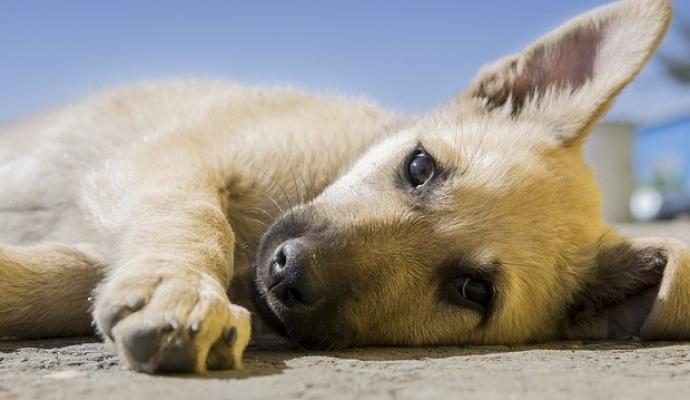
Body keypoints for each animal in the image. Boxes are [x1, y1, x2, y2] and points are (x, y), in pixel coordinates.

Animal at [1, 0, 688, 376]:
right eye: (419, 167)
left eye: (473, 291)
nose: (286, 271)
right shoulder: (173, 158)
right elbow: (196, 218)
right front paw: (181, 289)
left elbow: (64, 278)